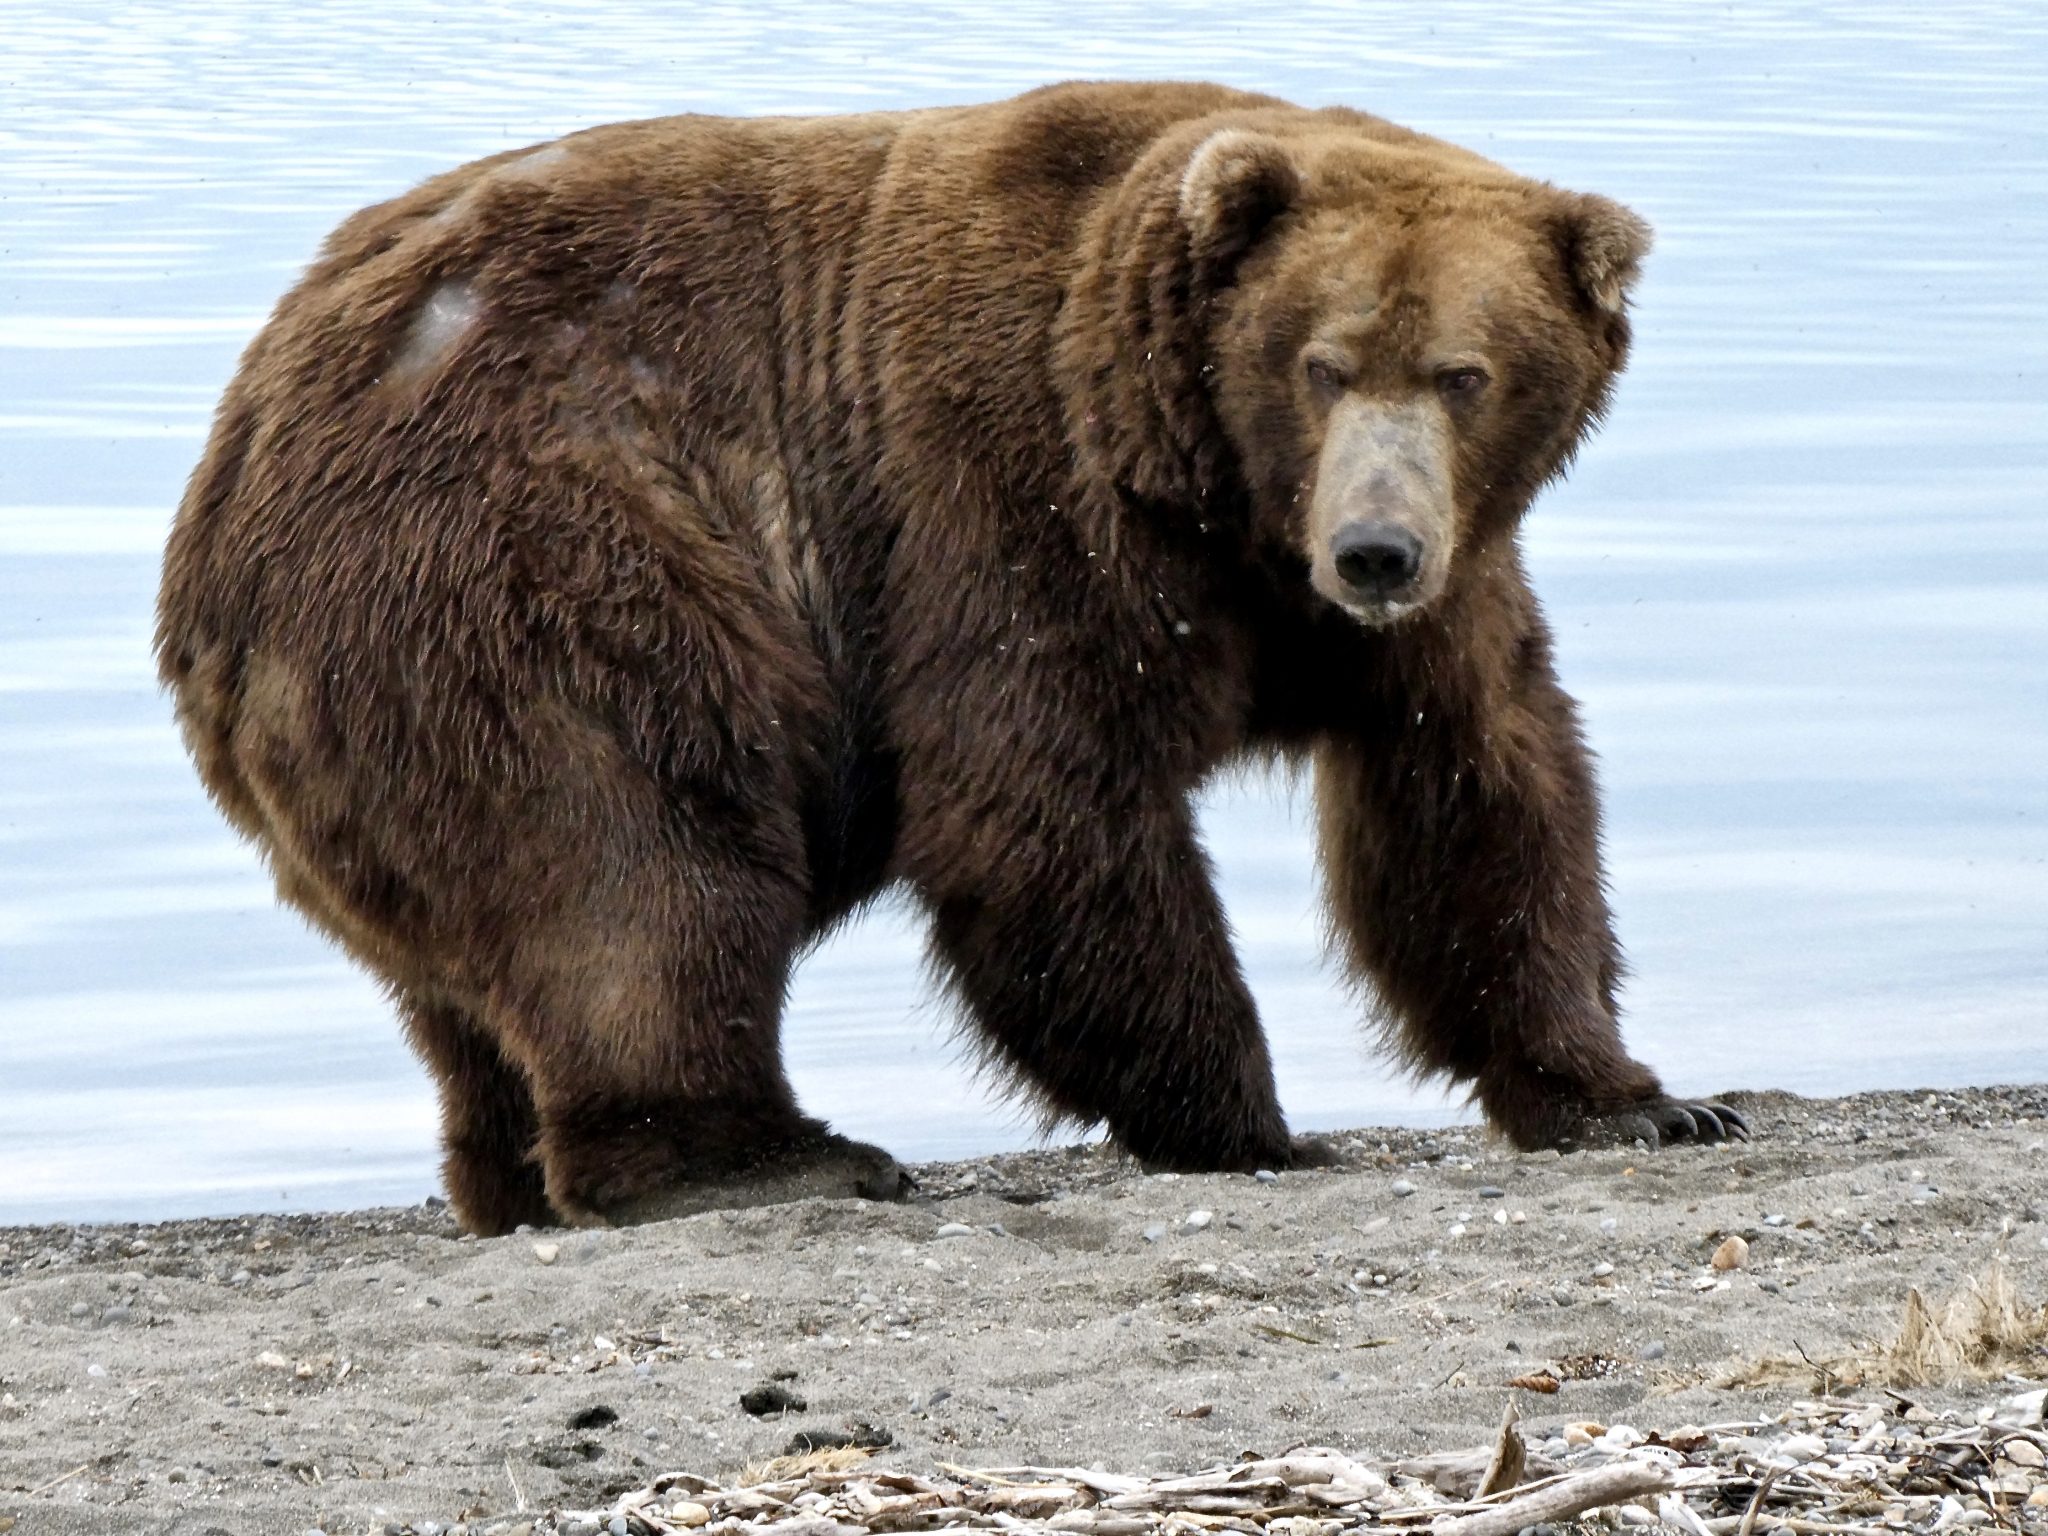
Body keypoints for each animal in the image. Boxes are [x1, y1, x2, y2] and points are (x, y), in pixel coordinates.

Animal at [155, 81, 1744, 1236]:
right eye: (1324, 362)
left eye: (1466, 372)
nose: (1373, 550)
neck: (1215, 497)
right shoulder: (1010, 487)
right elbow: (1039, 804)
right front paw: (1250, 1123)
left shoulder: (1433, 588)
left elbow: (1480, 796)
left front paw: (1635, 1096)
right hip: (528, 550)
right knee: (639, 853)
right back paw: (772, 1155)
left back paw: (513, 1182)